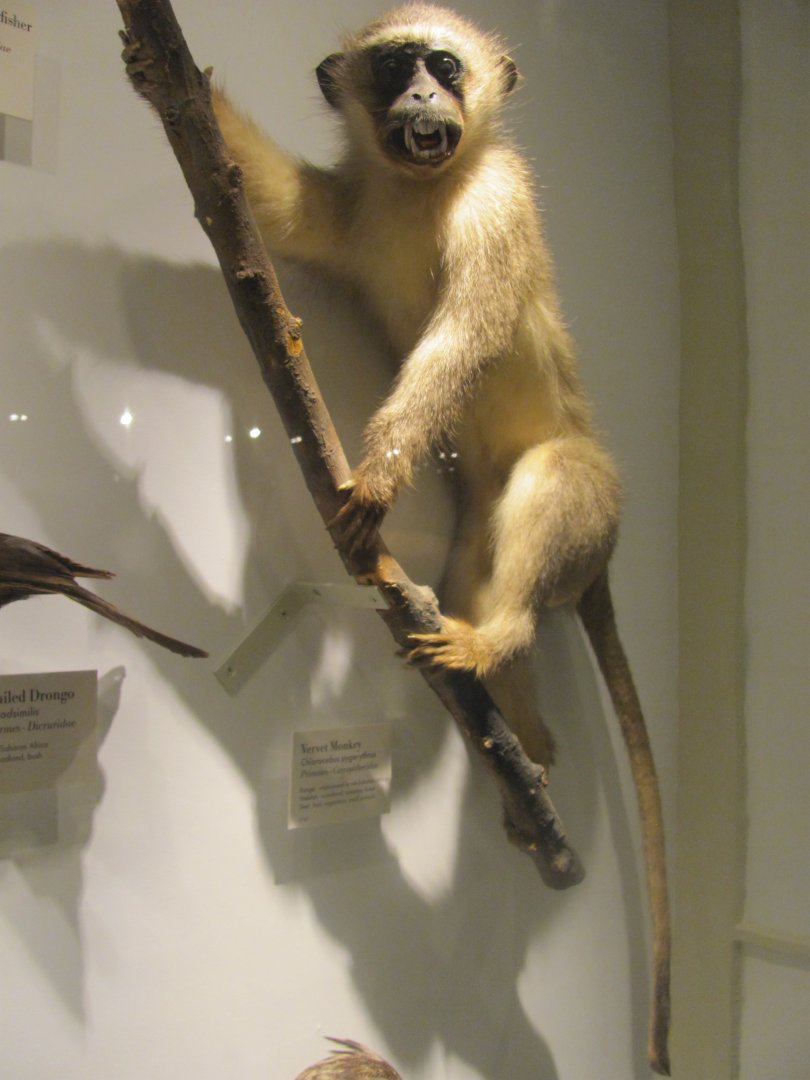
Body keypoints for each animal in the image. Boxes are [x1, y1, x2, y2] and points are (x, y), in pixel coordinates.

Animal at [212, 5, 670, 1072]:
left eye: (445, 66)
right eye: (394, 68)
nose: (423, 96)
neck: (424, 190)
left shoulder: (500, 200)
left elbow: (462, 337)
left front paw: (378, 478)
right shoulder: (353, 206)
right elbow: (275, 209)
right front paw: (160, 73)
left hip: (589, 496)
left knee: (548, 488)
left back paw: (493, 645)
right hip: (478, 526)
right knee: (466, 579)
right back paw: (524, 745)